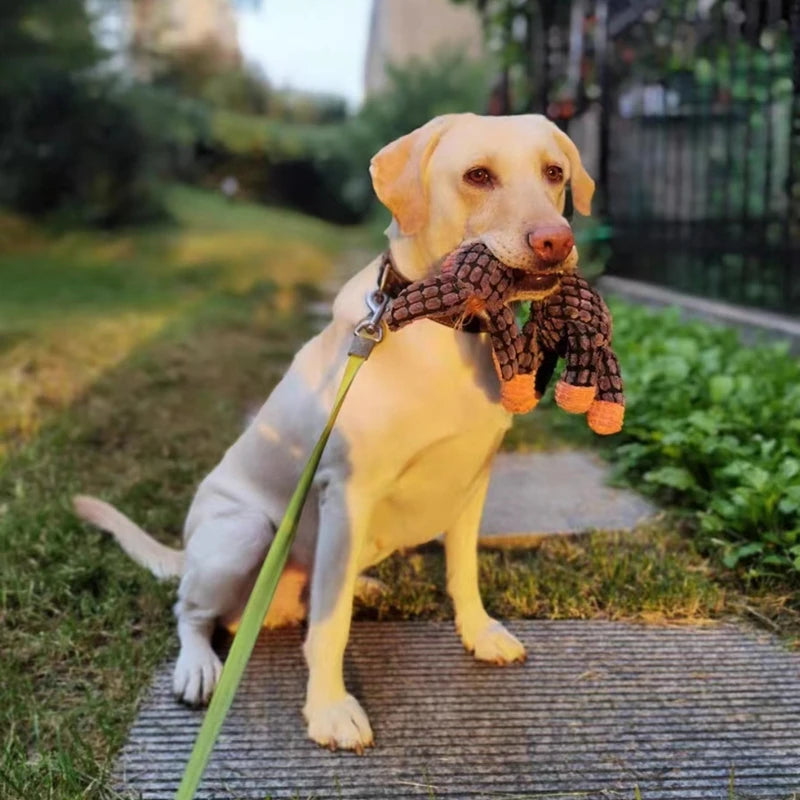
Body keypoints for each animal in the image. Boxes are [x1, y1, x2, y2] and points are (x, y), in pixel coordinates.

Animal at [73, 112, 592, 752]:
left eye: (555, 173)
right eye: (478, 176)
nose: (556, 241)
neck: (444, 330)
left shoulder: (473, 483)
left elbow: (463, 573)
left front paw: (479, 633)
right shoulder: (348, 494)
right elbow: (330, 626)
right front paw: (328, 709)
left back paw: (361, 585)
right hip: (244, 532)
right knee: (191, 610)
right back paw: (198, 664)